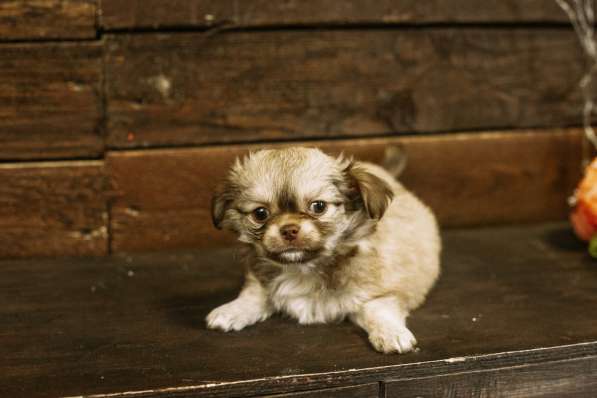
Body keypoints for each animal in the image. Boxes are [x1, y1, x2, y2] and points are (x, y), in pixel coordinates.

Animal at [205, 148, 438, 352]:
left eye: (318, 206)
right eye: (260, 213)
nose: (289, 229)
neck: (302, 268)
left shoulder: (380, 290)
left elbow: (378, 310)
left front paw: (391, 334)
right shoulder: (261, 278)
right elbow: (255, 295)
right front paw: (232, 310)